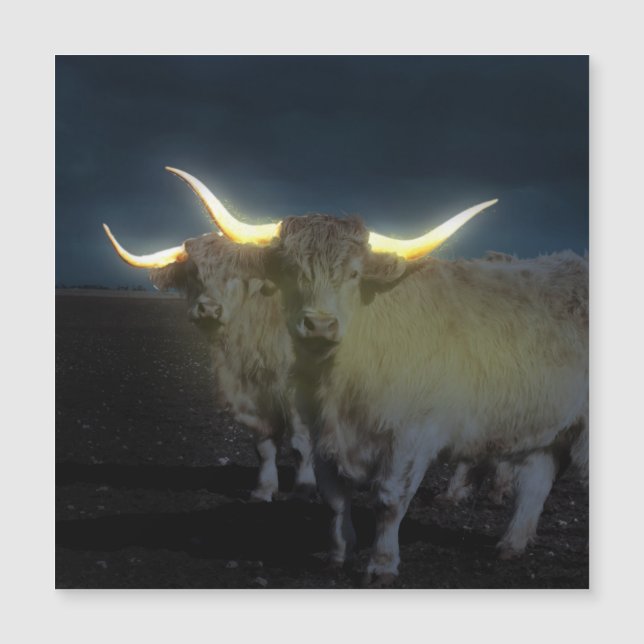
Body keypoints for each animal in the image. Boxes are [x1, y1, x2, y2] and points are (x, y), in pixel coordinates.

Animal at [102, 171, 316, 502]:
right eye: (193, 273)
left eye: (236, 276)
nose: (208, 309)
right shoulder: (252, 394)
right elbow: (264, 444)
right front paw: (263, 489)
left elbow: (300, 441)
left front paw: (305, 489)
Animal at [195, 185, 588, 586]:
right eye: (291, 271)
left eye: (354, 274)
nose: (320, 325)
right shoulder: (321, 434)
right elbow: (334, 499)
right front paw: (338, 554)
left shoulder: (410, 436)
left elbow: (389, 500)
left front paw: (381, 564)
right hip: (549, 429)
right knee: (536, 484)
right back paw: (511, 544)